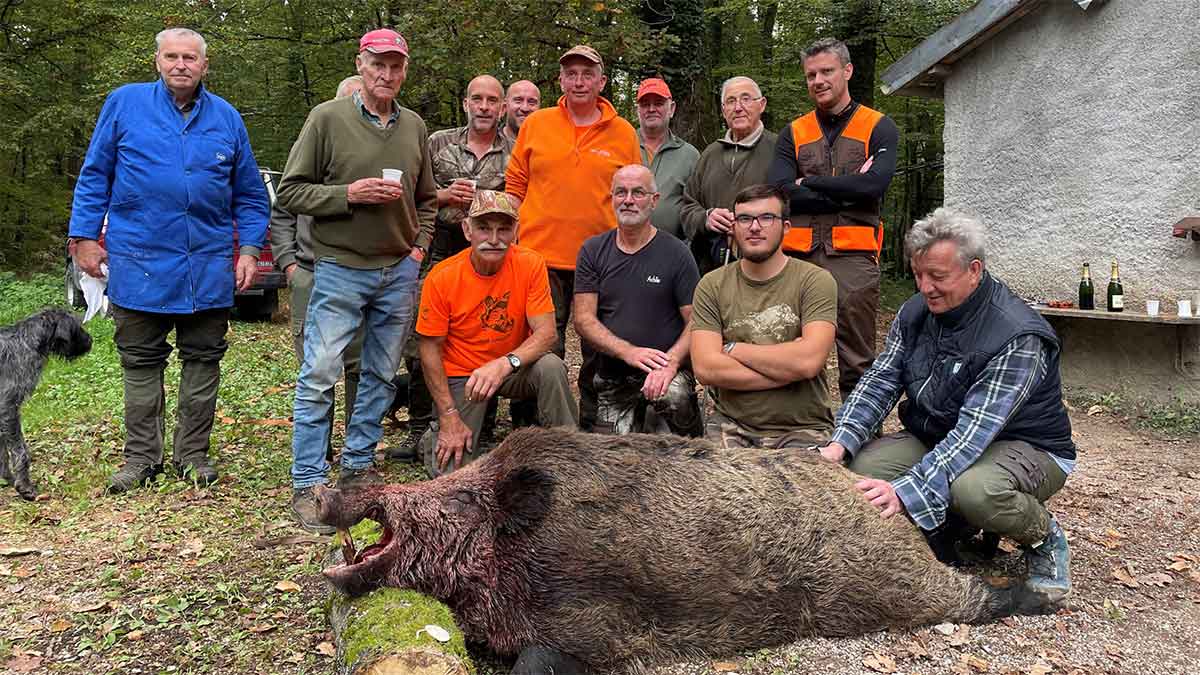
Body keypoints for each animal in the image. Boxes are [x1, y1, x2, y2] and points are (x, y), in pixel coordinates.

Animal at [0, 307, 93, 497]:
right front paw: (24, 486)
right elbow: (20, 451)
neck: (25, 342)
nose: (90, 341)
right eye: (76, 326)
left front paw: (9, 478)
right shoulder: (8, 408)